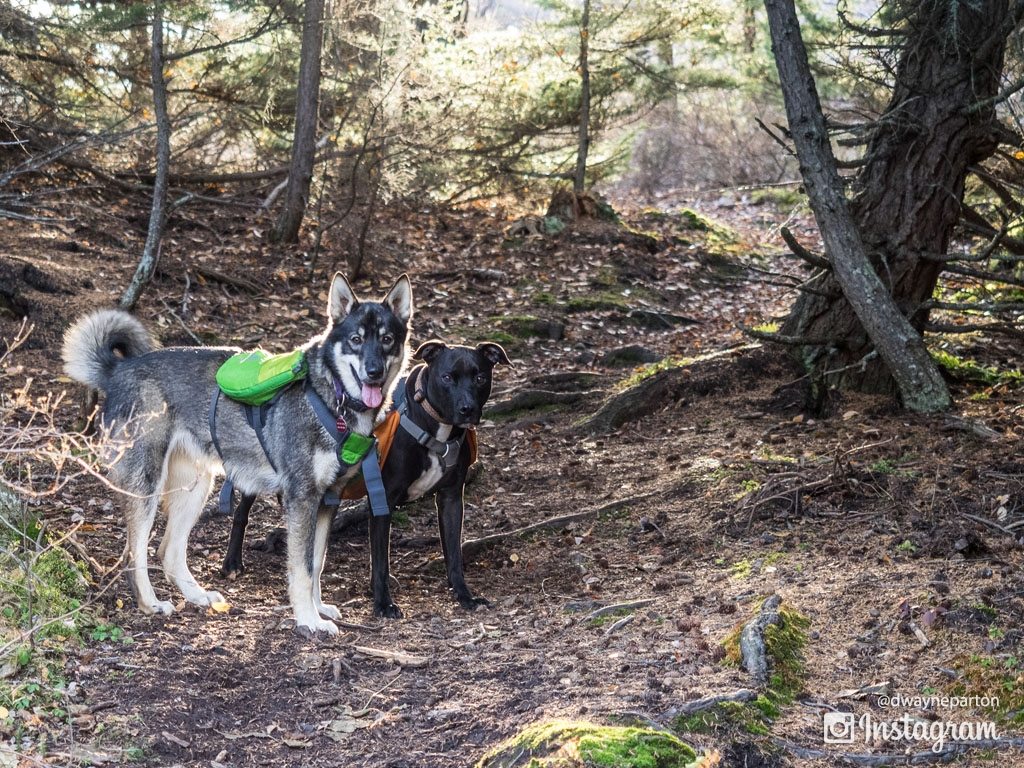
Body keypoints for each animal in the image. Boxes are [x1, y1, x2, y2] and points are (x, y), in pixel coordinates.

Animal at [59, 274, 409, 634]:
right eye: (356, 339)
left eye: (386, 340)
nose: (374, 371)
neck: (331, 399)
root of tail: (118, 371)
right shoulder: (302, 499)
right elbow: (302, 569)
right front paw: (309, 620)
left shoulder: (328, 500)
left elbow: (317, 564)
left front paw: (319, 608)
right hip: (147, 489)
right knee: (135, 554)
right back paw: (150, 603)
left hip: (196, 489)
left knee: (169, 552)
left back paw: (198, 596)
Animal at [224, 339, 512, 618]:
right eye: (447, 377)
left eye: (480, 378)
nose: (467, 409)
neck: (431, 424)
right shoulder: (384, 499)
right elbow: (380, 561)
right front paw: (383, 604)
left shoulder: (451, 498)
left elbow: (454, 553)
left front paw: (464, 595)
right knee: (241, 512)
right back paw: (232, 562)